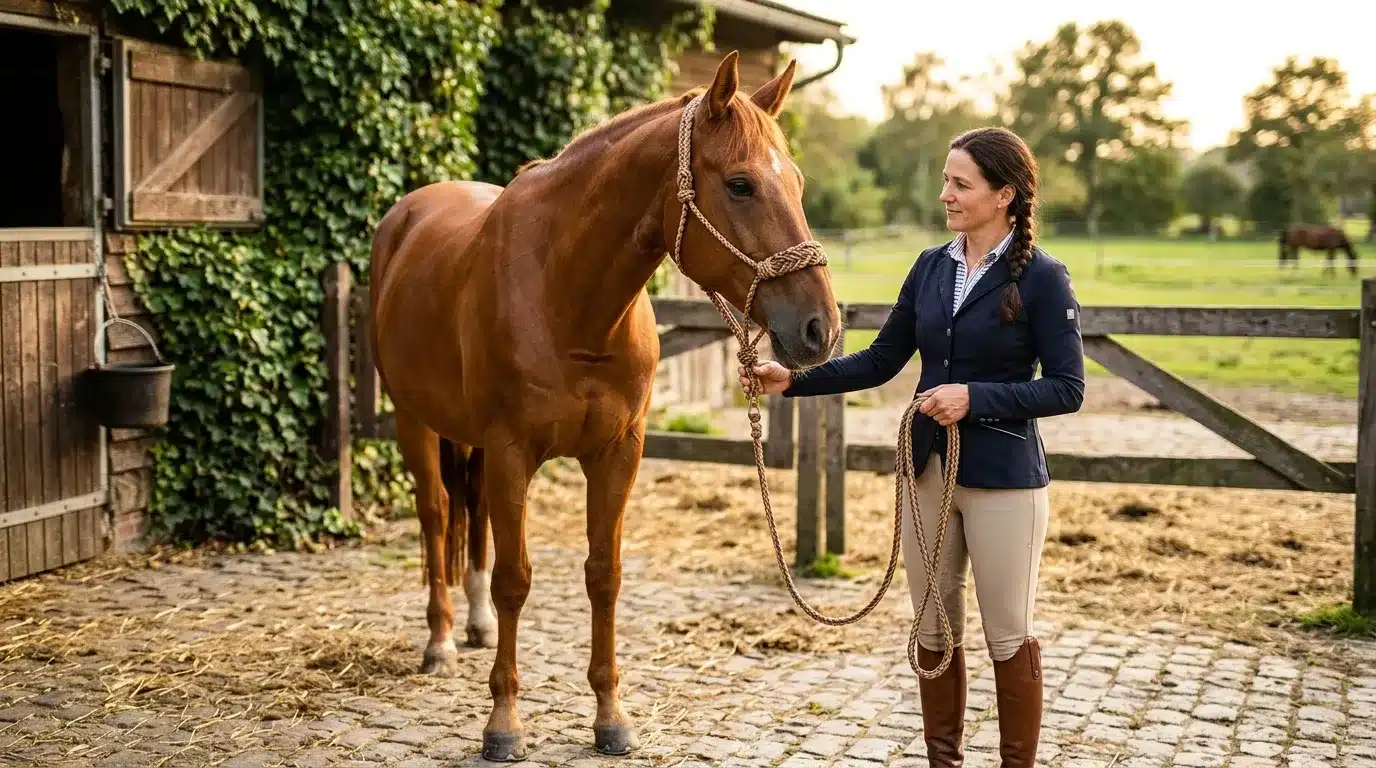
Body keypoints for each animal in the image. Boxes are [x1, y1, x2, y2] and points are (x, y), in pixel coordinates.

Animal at [368, 52, 841, 761]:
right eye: (740, 185)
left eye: (799, 183)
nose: (820, 328)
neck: (568, 294)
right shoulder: (511, 452)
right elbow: (516, 579)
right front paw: (503, 723)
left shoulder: (618, 452)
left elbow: (604, 576)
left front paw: (610, 716)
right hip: (413, 421)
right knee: (437, 514)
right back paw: (442, 641)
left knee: (471, 512)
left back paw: (474, 624)